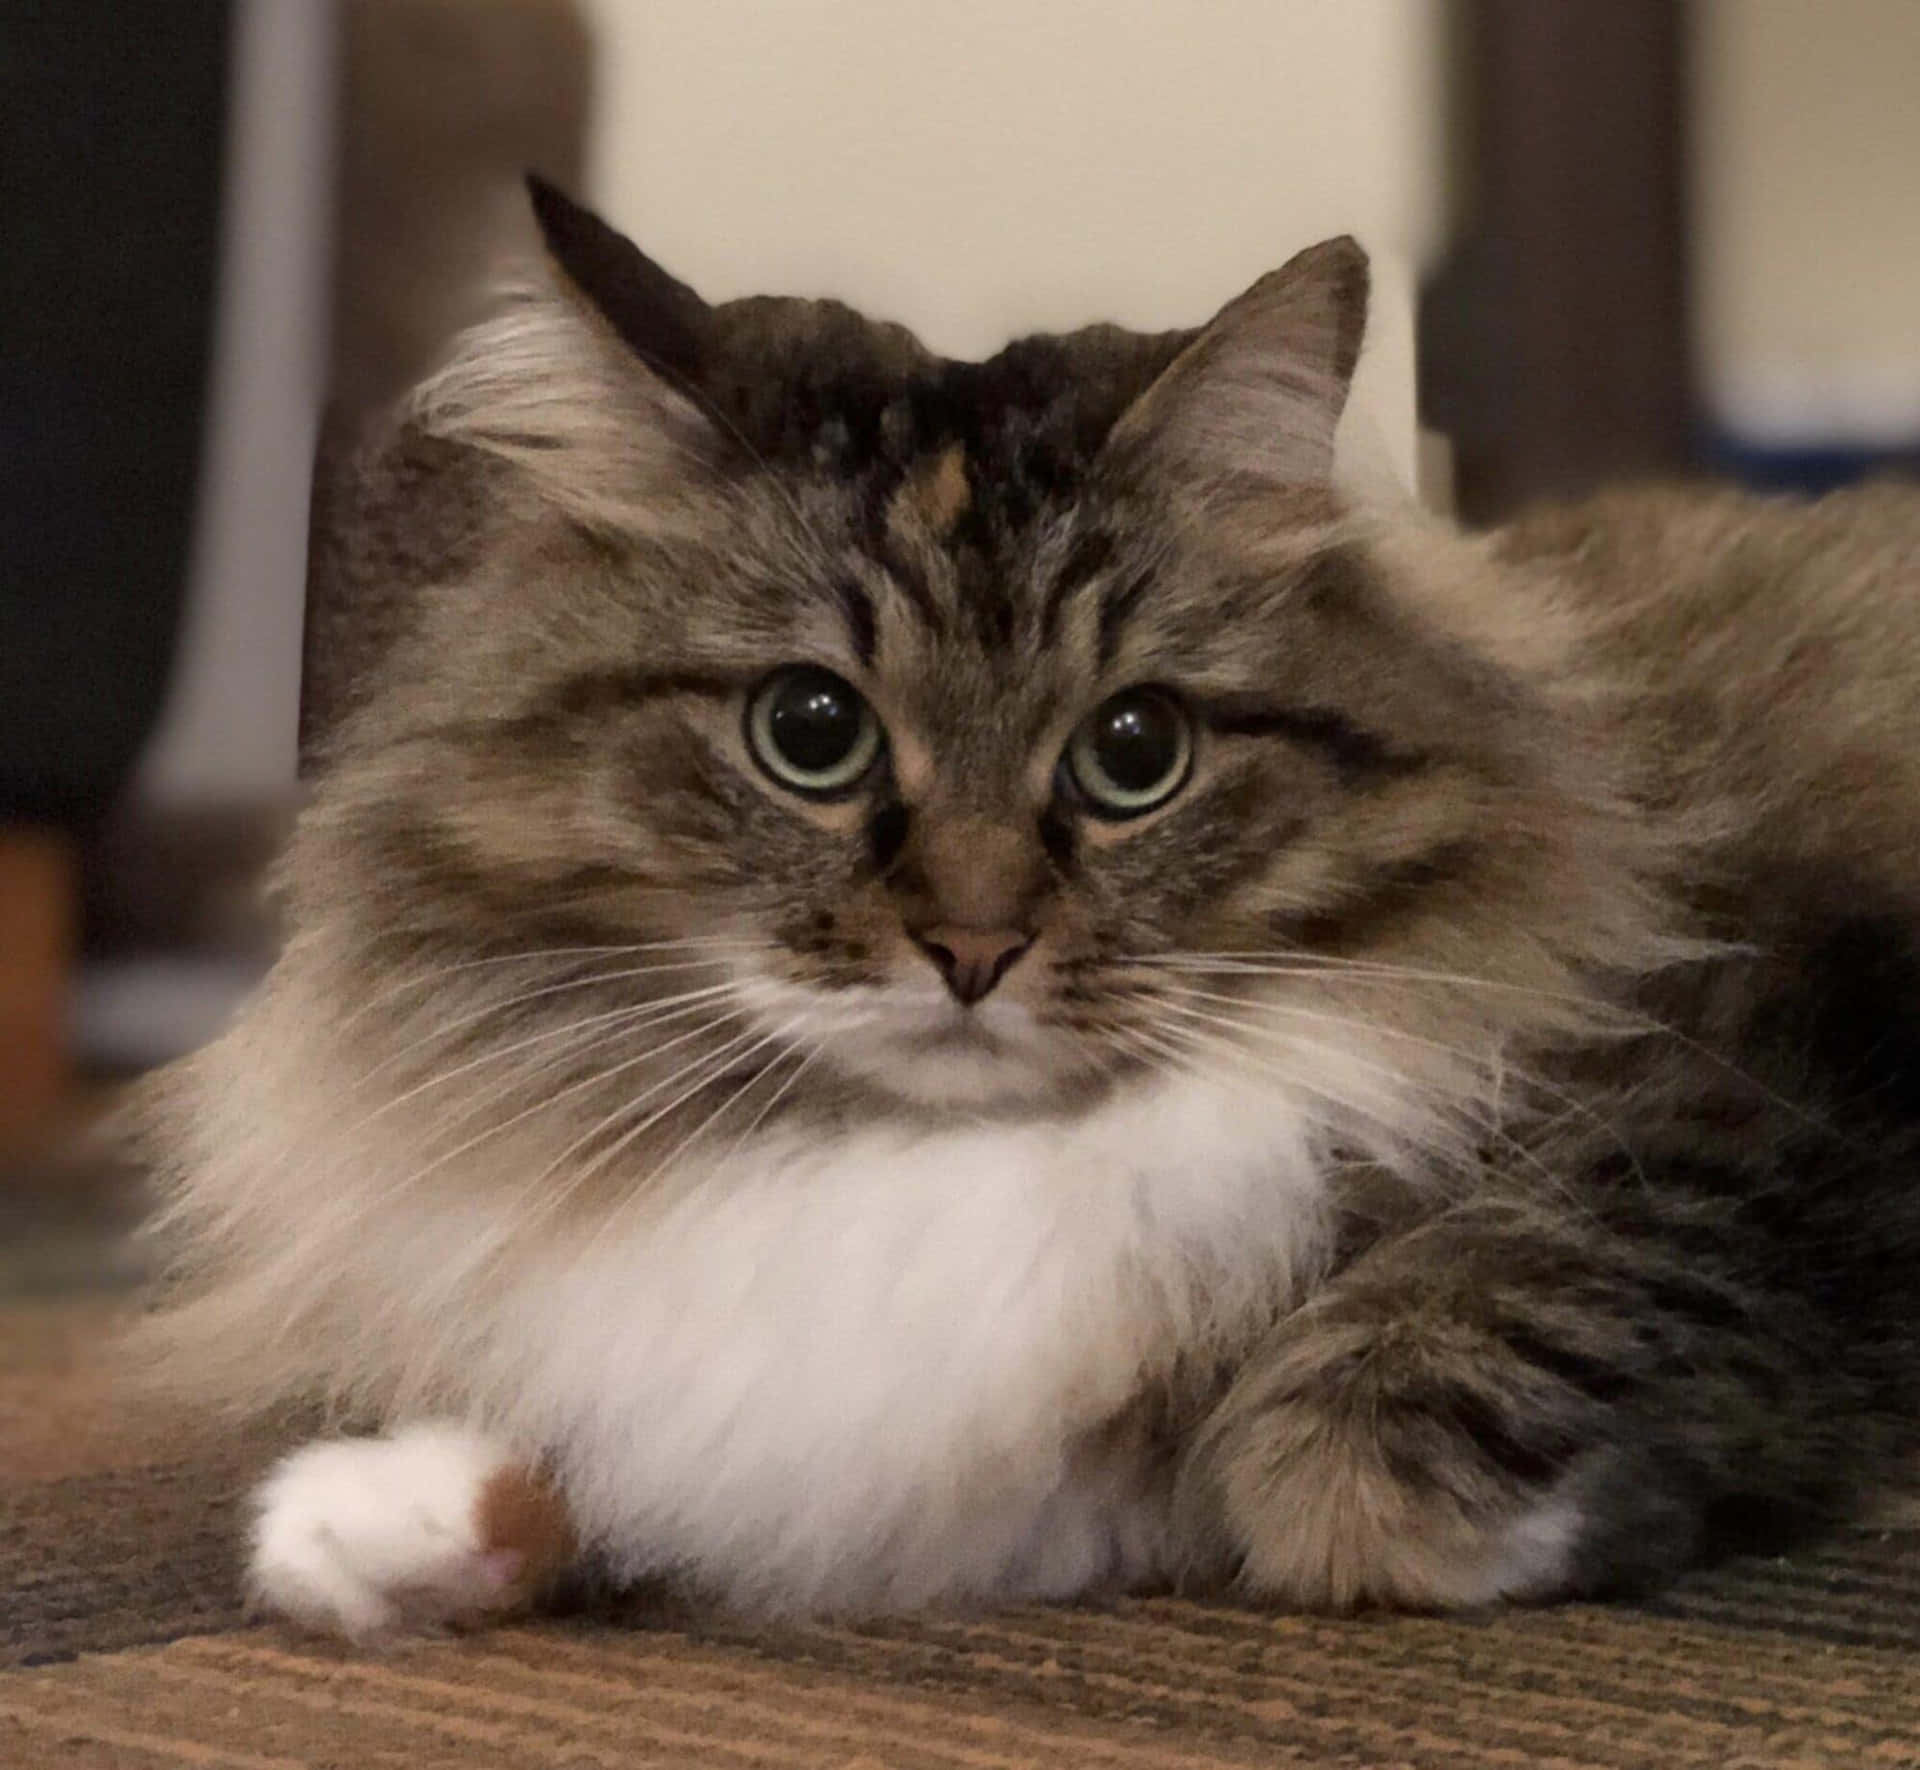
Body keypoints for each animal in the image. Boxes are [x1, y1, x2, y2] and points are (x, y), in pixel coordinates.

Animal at [139, 175, 1920, 1627]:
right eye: (810, 728)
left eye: (1135, 752)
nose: (975, 947)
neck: (948, 1167)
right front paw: (385, 1516)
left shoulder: (1751, 1062)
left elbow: (1426, 1360)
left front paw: (1419, 1499)